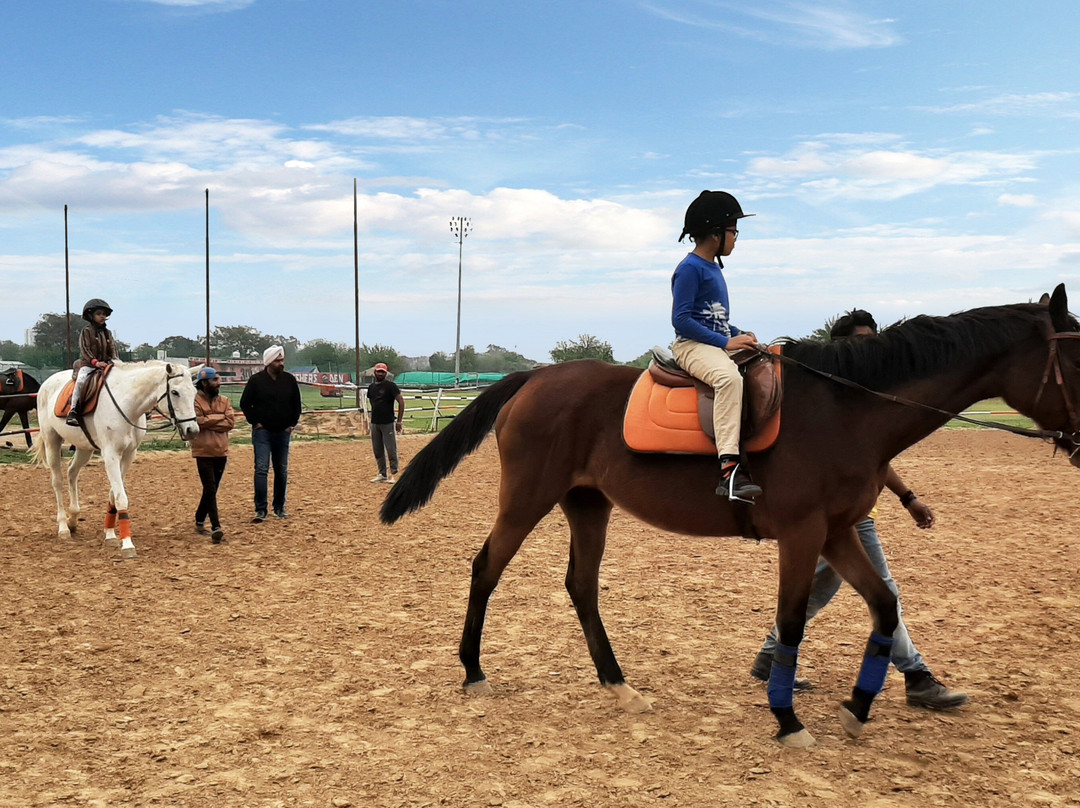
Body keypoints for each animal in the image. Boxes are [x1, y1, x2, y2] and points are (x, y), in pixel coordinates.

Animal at [31, 360, 201, 559]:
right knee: (57, 481)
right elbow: (121, 498)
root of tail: (47, 382)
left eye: (194, 392)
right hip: (52, 441)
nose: (192, 430)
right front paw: (127, 544)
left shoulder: (128, 455)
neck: (126, 405)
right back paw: (64, 527)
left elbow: (113, 494)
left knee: (72, 472)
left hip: (84, 448)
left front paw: (110, 534)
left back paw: (73, 519)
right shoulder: (111, 455)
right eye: (175, 392)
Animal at [380, 284, 1080, 748]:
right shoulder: (802, 535)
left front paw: (857, 707)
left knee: (580, 586)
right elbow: (792, 622)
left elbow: (884, 606)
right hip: (528, 496)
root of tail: (533, 377)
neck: (847, 410)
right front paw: (788, 720)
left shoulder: (837, 533)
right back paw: (474, 672)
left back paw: (617, 684)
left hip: (588, 504)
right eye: (1076, 356)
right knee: (487, 567)